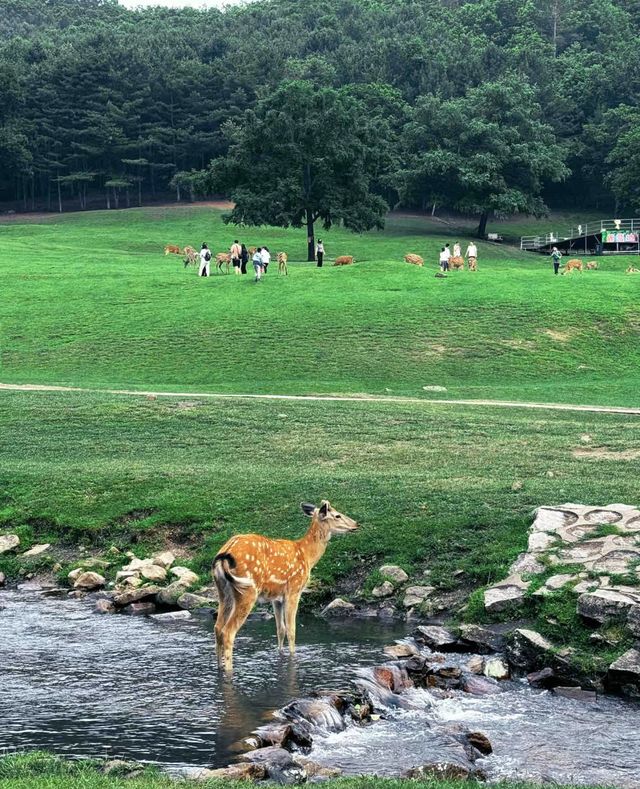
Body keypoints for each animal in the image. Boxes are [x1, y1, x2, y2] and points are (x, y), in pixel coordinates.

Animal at [212, 502, 358, 668]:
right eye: (337, 515)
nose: (356, 524)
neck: (307, 556)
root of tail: (225, 553)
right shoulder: (294, 590)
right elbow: (291, 630)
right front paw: (293, 657)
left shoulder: (277, 597)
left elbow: (280, 629)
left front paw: (280, 654)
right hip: (247, 590)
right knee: (228, 632)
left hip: (223, 590)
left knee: (218, 628)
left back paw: (219, 666)